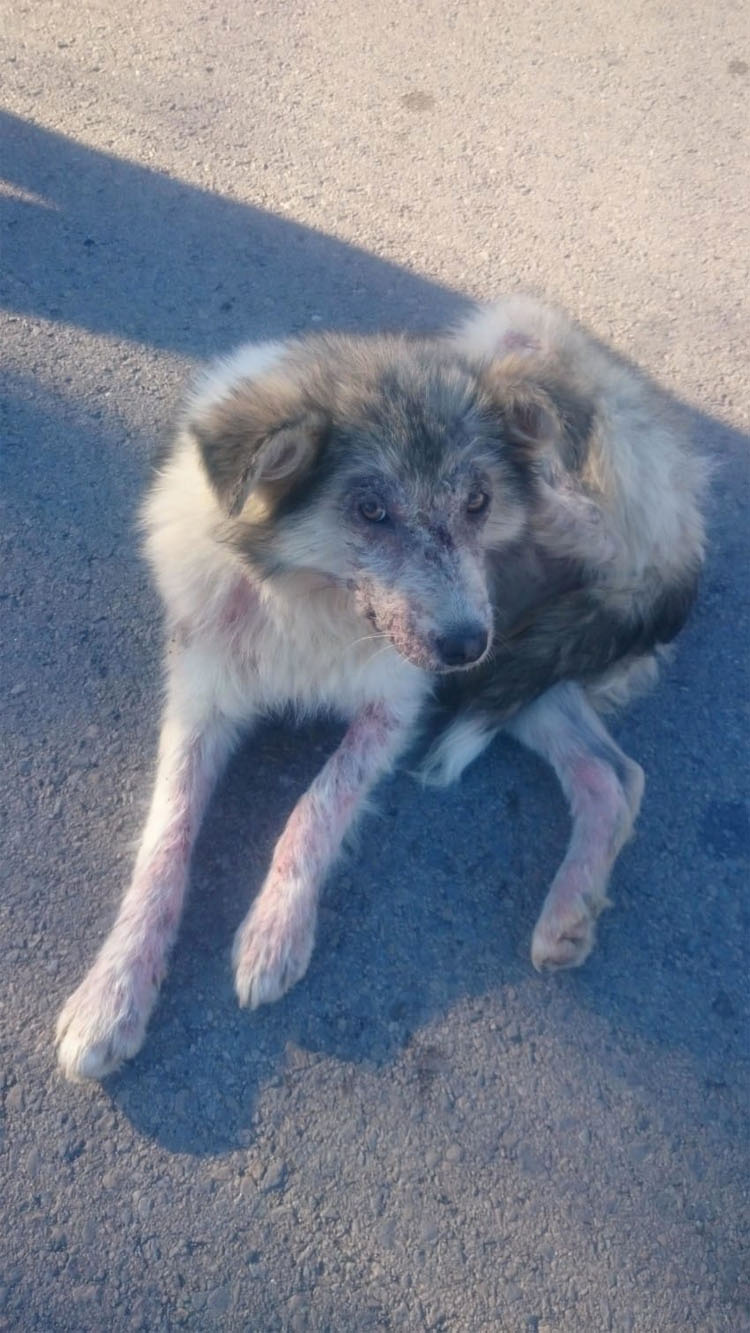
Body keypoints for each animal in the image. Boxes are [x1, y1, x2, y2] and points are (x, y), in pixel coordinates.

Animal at [55, 297, 708, 1077]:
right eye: (370, 511)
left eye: (478, 500)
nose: (464, 644)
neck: (310, 601)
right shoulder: (204, 697)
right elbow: (167, 835)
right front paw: (114, 991)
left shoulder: (395, 706)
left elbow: (317, 807)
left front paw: (274, 932)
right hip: (522, 665)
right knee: (613, 774)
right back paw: (569, 915)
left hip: (517, 358)